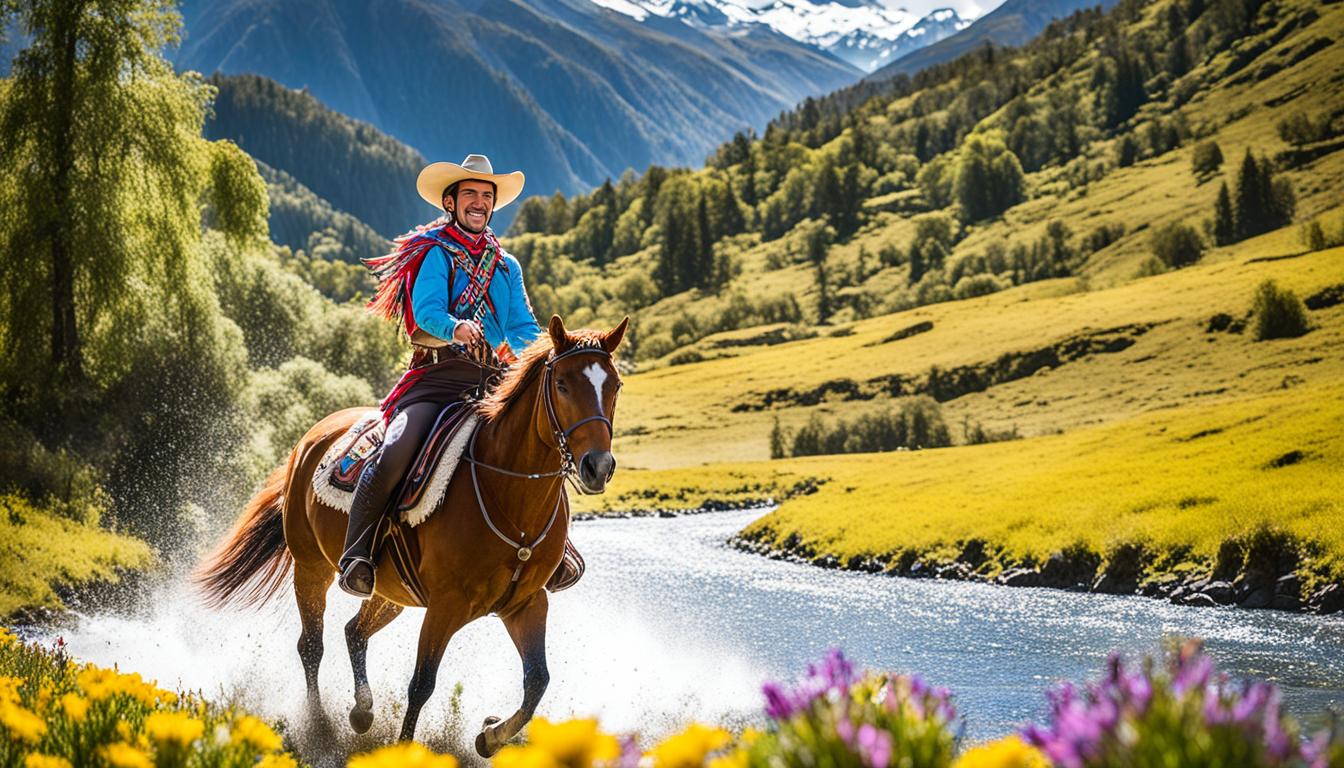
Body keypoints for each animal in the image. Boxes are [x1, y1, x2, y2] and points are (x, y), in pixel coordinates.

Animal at [196, 316, 626, 753]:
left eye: (615, 386)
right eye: (563, 385)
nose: (597, 466)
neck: (506, 491)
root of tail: (309, 439)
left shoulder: (527, 603)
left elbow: (537, 681)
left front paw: (490, 734)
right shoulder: (445, 605)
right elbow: (422, 684)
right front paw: (406, 748)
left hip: (389, 591)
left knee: (354, 631)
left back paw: (362, 711)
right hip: (311, 567)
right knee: (311, 645)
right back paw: (319, 727)